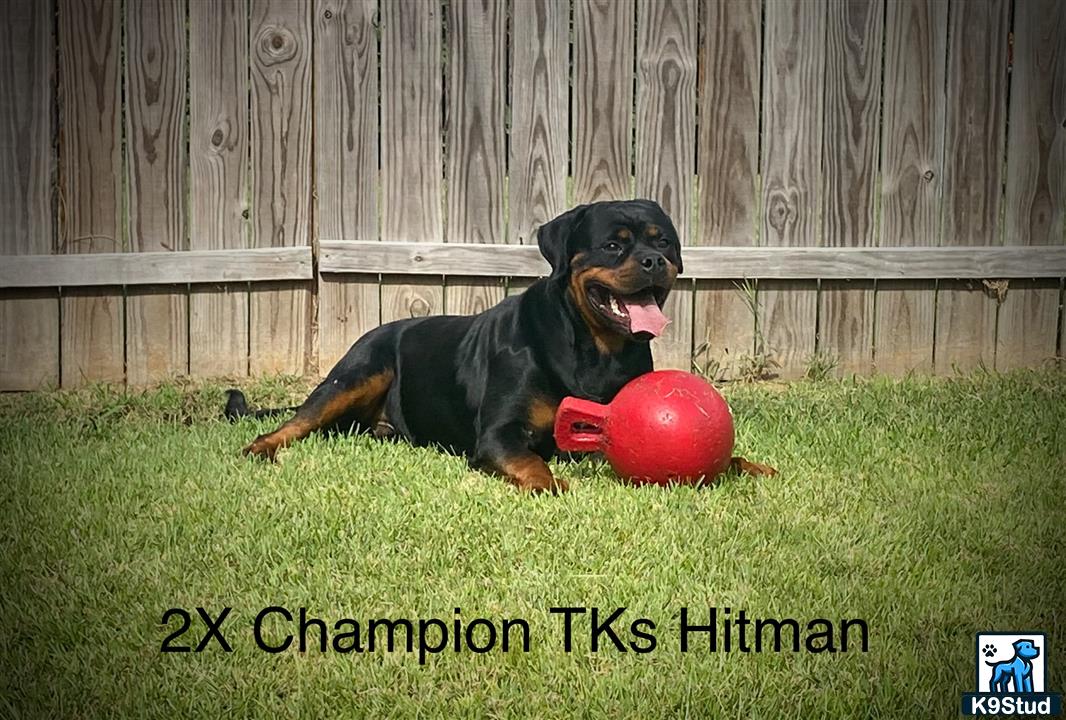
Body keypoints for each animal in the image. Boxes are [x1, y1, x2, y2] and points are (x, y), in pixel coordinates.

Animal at [227, 199, 776, 492]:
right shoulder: (498, 435)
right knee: (295, 422)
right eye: (613, 244)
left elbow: (723, 458)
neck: (594, 349)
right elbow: (532, 463)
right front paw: (554, 486)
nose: (653, 261)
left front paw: (748, 465)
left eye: (664, 242)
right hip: (357, 371)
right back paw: (262, 448)